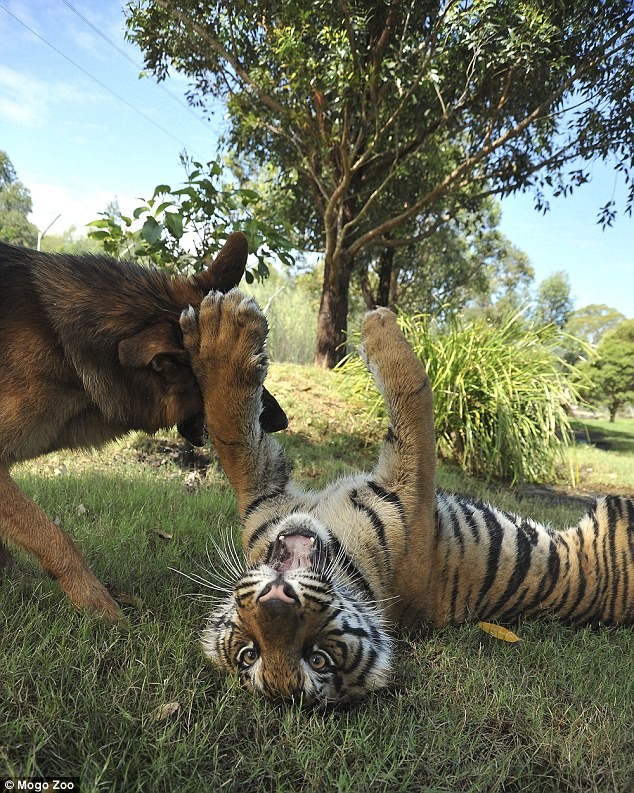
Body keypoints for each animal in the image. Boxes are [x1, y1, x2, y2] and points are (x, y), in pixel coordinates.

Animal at [178, 288, 632, 704]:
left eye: (316, 658)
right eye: (251, 654)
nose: (275, 600)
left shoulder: (266, 492)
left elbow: (231, 432)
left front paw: (216, 334)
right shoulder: (412, 489)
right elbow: (414, 387)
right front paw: (379, 322)